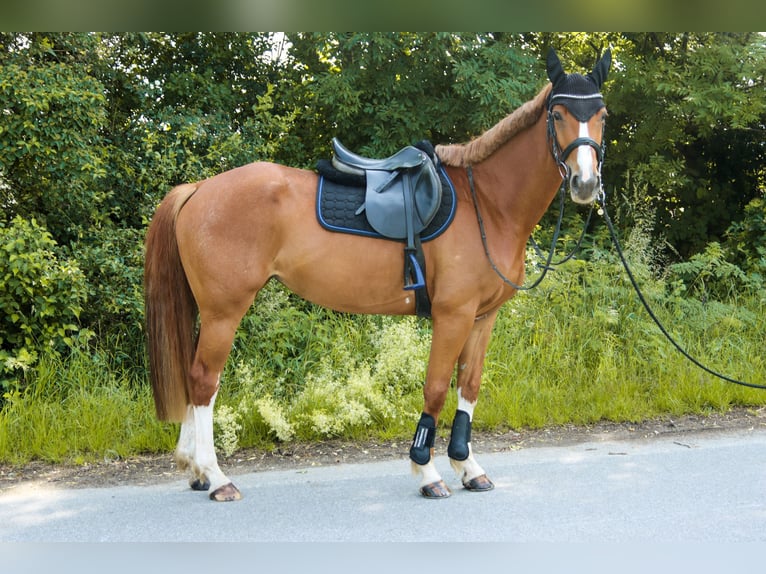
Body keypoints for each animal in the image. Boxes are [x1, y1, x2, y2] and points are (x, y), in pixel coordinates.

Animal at [144, 48, 612, 500]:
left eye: (602, 114)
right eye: (557, 115)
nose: (586, 184)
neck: (486, 204)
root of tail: (198, 189)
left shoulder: (482, 318)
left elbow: (469, 387)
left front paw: (467, 467)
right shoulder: (453, 315)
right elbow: (436, 388)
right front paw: (427, 471)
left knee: (193, 376)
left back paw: (194, 470)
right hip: (224, 311)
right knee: (204, 380)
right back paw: (215, 476)